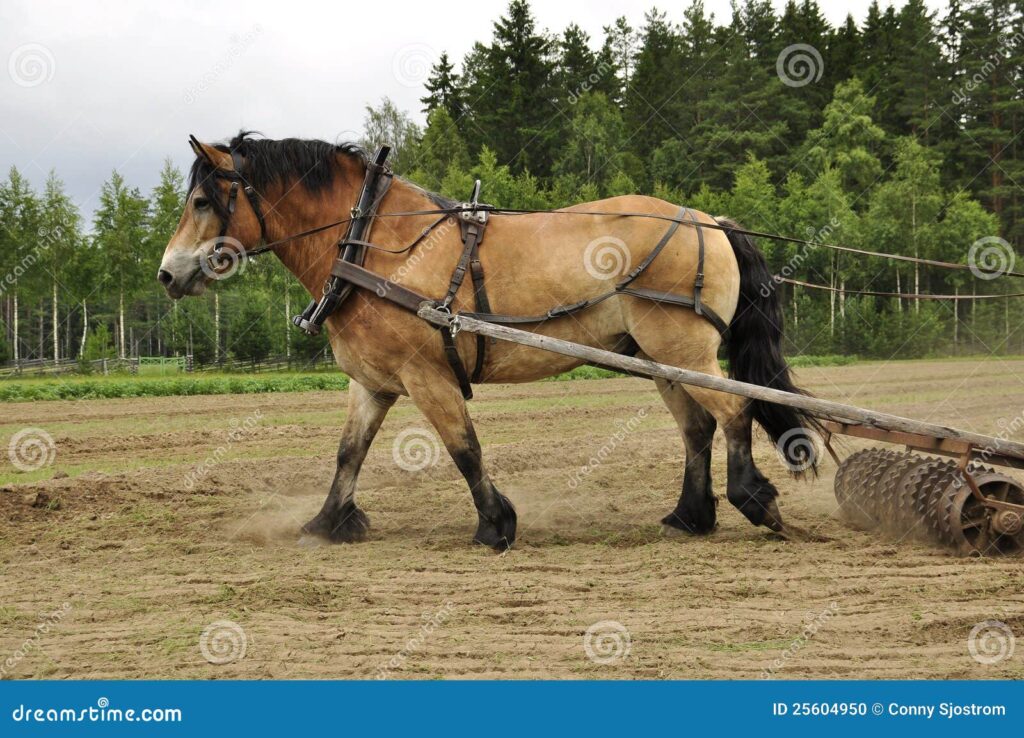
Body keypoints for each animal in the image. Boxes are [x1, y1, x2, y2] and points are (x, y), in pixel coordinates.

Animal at [157, 132, 815, 548]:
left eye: (201, 201)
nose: (166, 274)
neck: (371, 242)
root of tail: (709, 220)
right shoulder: (373, 382)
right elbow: (349, 452)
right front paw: (326, 524)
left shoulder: (427, 375)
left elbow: (463, 448)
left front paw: (496, 525)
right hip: (663, 357)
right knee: (698, 426)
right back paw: (690, 515)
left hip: (683, 348)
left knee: (734, 410)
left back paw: (753, 498)